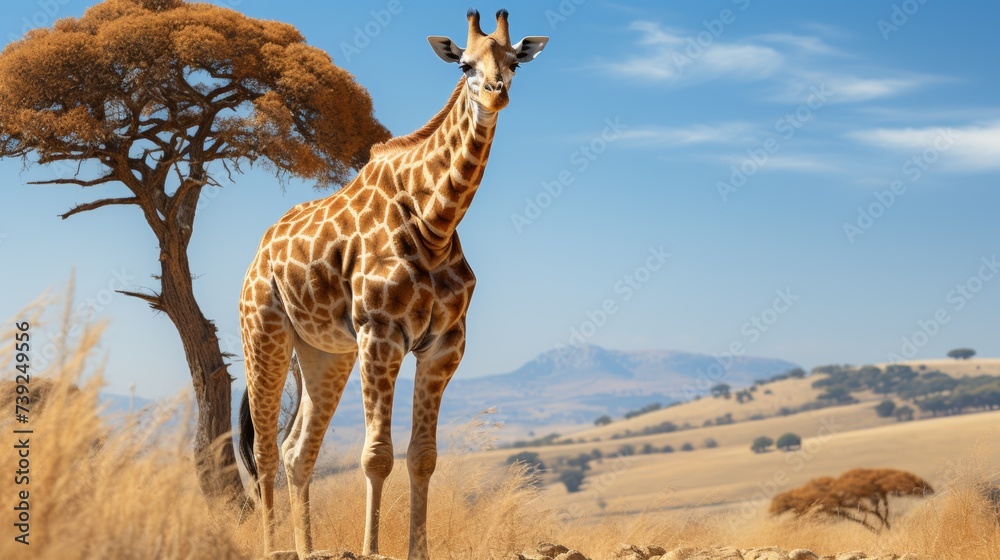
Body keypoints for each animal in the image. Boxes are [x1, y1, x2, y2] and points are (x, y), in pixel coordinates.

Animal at [237, 9, 547, 559]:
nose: (495, 93)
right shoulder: (380, 333)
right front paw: (371, 547)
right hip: (264, 332)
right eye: (464, 64)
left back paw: (305, 548)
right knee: (266, 448)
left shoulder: (445, 343)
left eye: (514, 61)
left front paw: (417, 549)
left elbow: (422, 456)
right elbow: (376, 454)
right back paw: (273, 548)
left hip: (325, 353)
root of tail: (260, 253)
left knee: (299, 451)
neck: (435, 223)